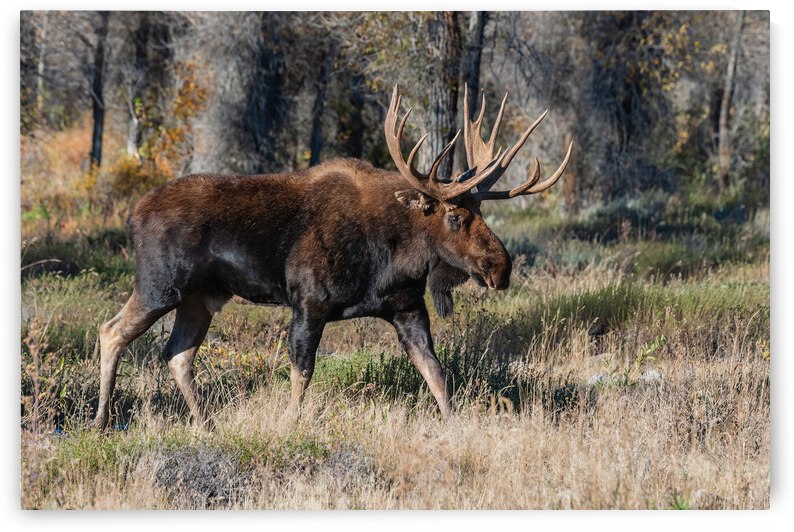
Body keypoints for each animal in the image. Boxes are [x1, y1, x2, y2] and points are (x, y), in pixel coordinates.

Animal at [93, 84, 572, 430]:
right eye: (455, 215)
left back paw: (206, 423)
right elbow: (301, 375)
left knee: (176, 353)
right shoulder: (309, 302)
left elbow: (437, 375)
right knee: (110, 331)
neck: (393, 256)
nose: (501, 267)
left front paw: (455, 426)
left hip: (201, 297)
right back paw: (101, 421)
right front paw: (289, 426)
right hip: (161, 286)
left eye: (482, 212)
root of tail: (134, 213)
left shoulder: (407, 307)